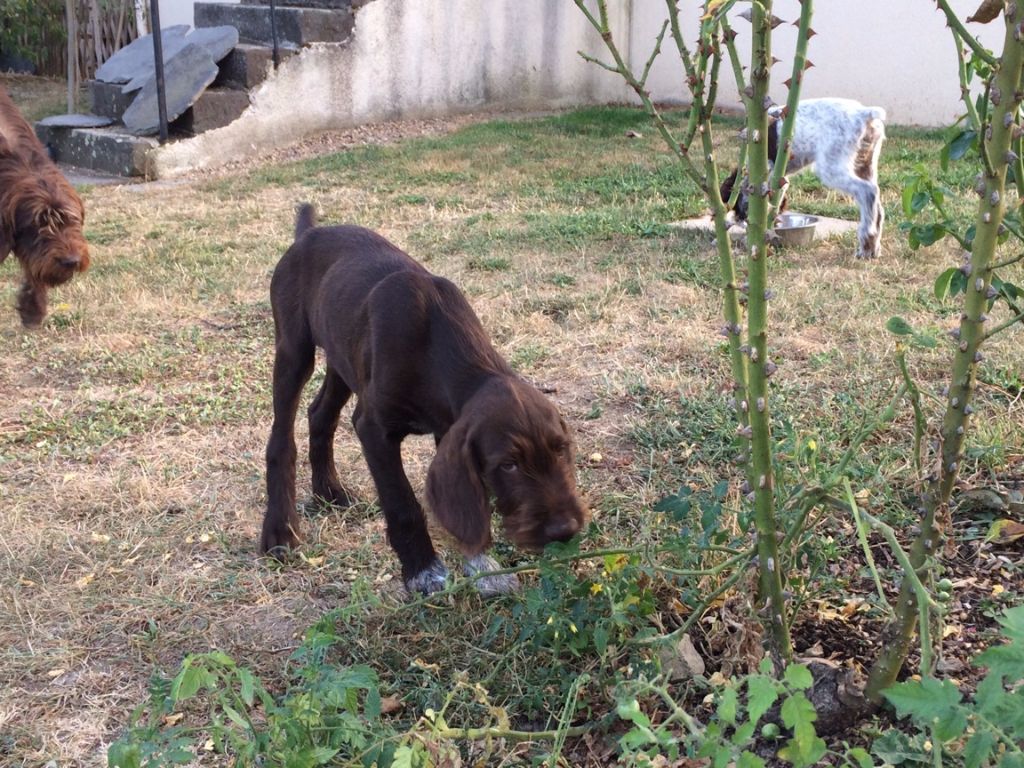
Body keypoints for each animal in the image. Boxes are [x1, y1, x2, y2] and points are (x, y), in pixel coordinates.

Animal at [260, 207, 589, 598]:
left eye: (561, 449)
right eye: (508, 465)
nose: (564, 530)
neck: (436, 344)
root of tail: (309, 233)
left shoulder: (448, 428)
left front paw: (481, 565)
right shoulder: (374, 429)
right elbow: (402, 503)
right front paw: (423, 570)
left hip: (342, 358)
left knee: (319, 414)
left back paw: (329, 491)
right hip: (293, 350)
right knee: (281, 440)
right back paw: (281, 529)